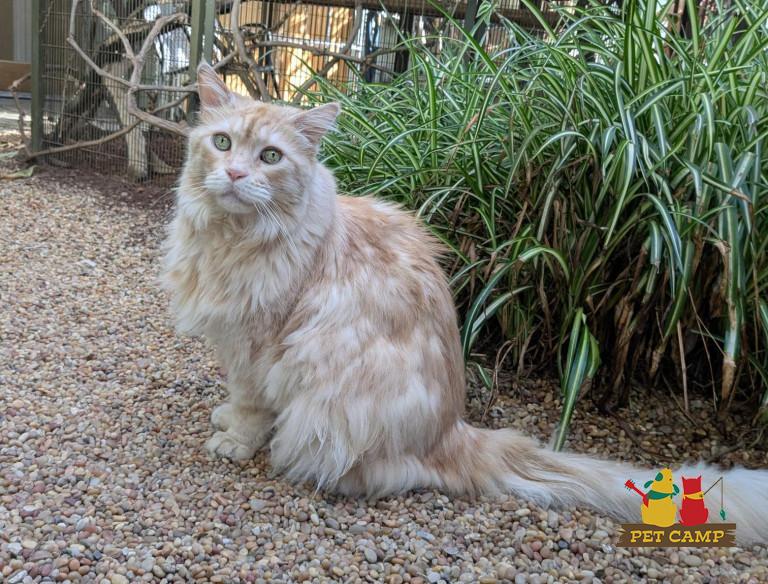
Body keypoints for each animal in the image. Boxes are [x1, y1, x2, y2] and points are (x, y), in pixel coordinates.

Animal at [161, 62, 768, 545]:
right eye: (221, 143)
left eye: (270, 156)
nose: (235, 174)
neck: (230, 241)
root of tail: (453, 428)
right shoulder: (233, 343)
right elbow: (237, 398)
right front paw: (227, 420)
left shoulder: (258, 347)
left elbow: (251, 406)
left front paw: (235, 441)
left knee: (392, 475)